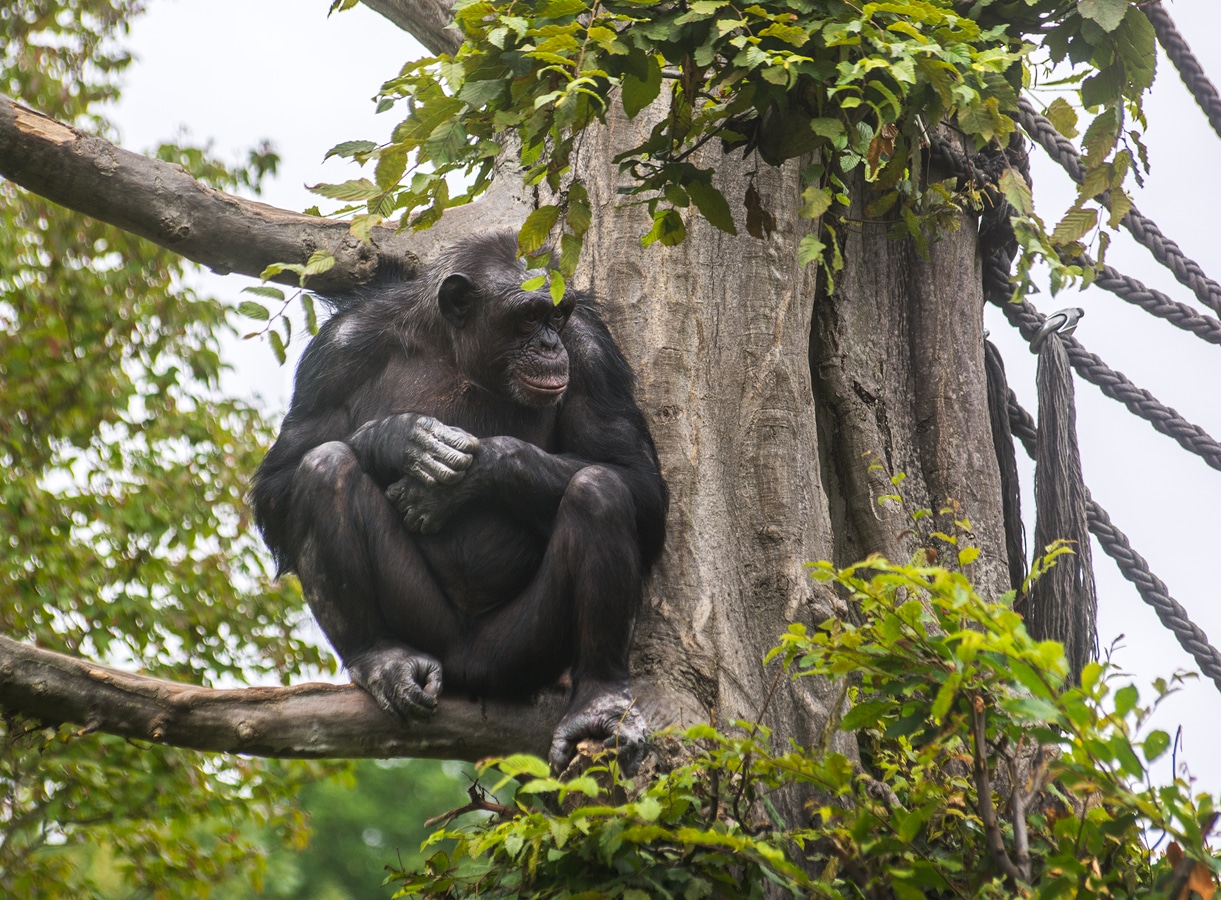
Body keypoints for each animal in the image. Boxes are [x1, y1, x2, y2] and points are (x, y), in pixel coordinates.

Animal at [249, 228, 669, 766]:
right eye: (529, 316)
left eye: (558, 315)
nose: (551, 343)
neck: (458, 352)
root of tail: (471, 669)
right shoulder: (337, 352)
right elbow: (280, 479)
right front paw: (397, 439)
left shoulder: (593, 353)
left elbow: (637, 481)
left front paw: (480, 469)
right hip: (425, 625)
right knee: (324, 468)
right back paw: (381, 657)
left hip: (521, 651)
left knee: (599, 490)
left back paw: (600, 701)